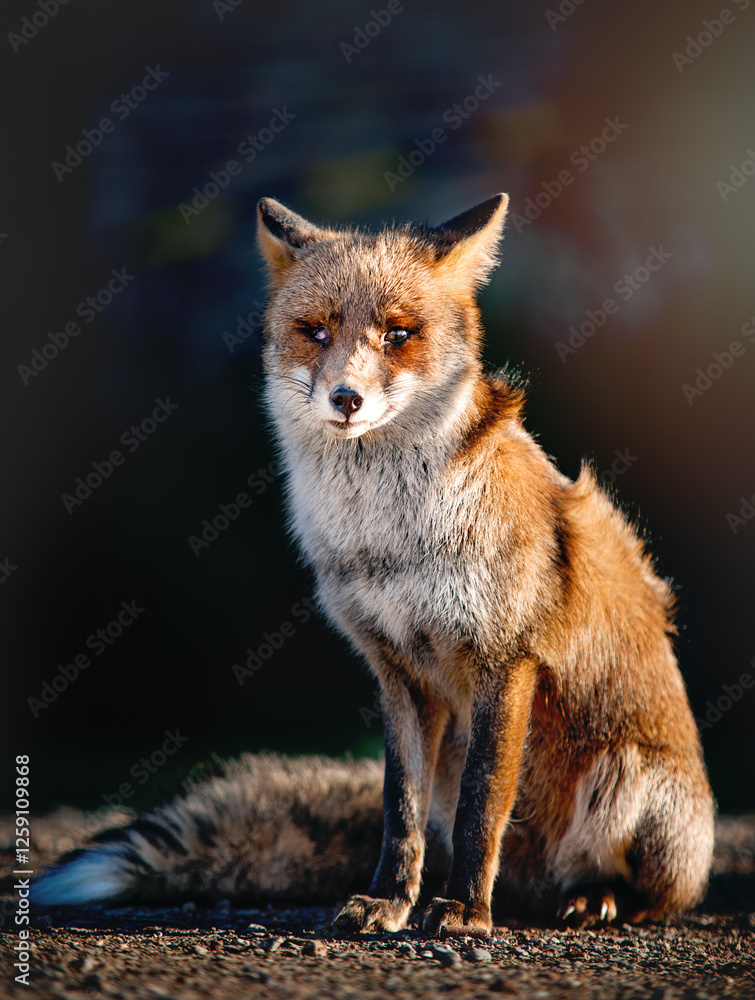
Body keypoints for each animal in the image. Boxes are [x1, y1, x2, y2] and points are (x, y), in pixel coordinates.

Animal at [33, 194, 715, 936]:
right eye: (316, 332)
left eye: (396, 334)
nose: (346, 399)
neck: (389, 542)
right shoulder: (395, 671)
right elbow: (397, 808)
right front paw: (390, 900)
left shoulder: (505, 659)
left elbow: (483, 807)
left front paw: (465, 911)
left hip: (629, 783)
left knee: (658, 895)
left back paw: (591, 898)